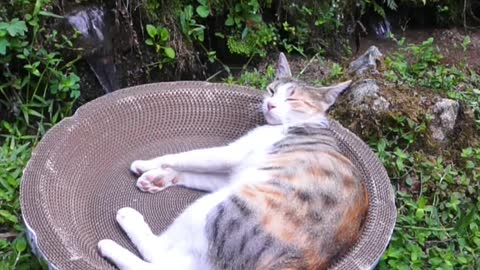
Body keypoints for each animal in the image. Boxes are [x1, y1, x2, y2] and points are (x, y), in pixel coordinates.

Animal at [96, 53, 368, 270]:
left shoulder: (232, 153)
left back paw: (121, 228)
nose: (271, 104)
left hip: (215, 208)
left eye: (293, 99)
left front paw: (147, 163)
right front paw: (158, 177)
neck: (304, 123)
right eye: (271, 90)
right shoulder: (232, 173)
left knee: (160, 257)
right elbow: (194, 172)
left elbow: (187, 157)